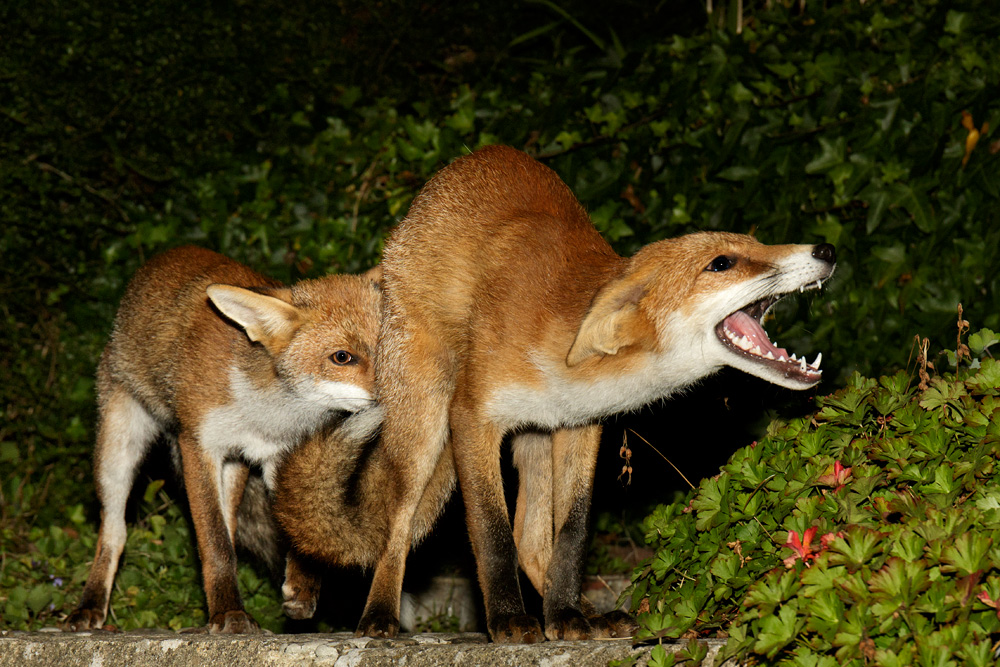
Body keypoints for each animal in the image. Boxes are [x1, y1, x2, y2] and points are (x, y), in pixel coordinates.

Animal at [63, 245, 381, 634]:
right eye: (342, 357)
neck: (267, 414)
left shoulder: (277, 457)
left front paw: (301, 589)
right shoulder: (198, 445)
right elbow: (214, 545)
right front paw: (228, 613)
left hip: (234, 467)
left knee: (229, 528)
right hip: (118, 449)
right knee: (115, 531)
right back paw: (90, 605)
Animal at [348, 145, 836, 643]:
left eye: (759, 245)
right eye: (722, 263)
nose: (827, 249)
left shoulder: (579, 425)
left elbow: (572, 532)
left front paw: (564, 614)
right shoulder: (472, 417)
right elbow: (491, 533)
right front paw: (507, 619)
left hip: (535, 436)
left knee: (531, 540)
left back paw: (582, 612)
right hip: (424, 427)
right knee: (399, 524)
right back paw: (379, 615)